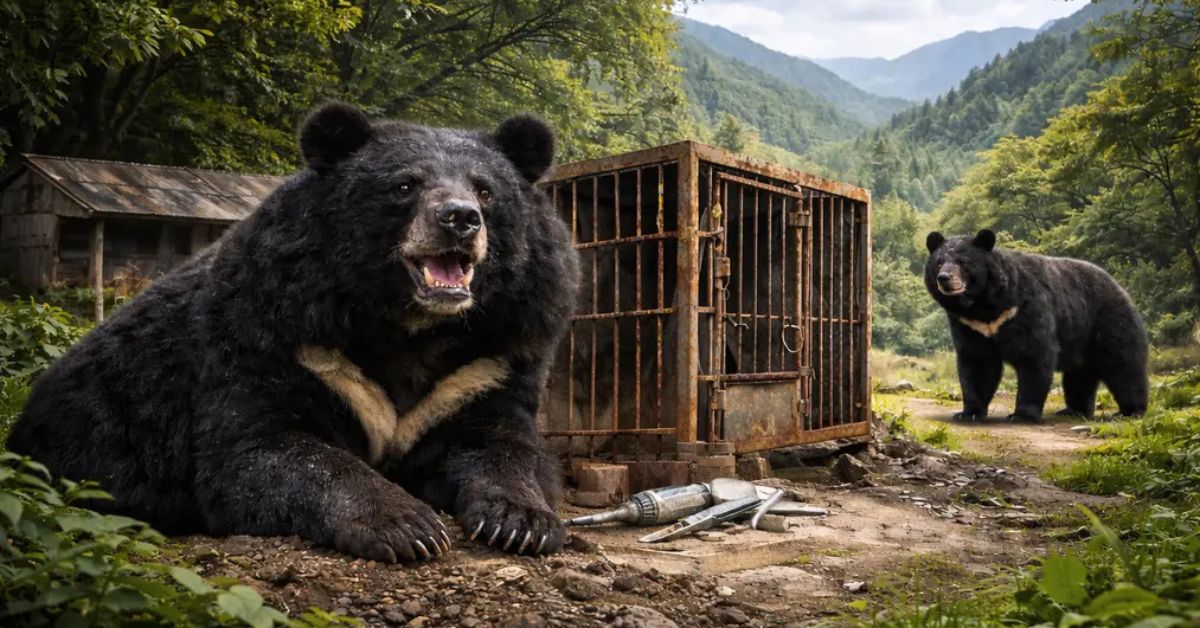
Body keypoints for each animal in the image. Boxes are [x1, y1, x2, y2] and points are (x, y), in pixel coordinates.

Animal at [7, 102, 581, 562]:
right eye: (404, 186)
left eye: (486, 192)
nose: (460, 219)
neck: (411, 324)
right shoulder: (274, 336)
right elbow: (269, 450)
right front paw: (408, 526)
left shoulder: (491, 360)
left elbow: (499, 443)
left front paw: (521, 524)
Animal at [924, 229, 1148, 423]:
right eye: (939, 262)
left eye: (964, 262)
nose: (944, 279)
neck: (983, 306)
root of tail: (1119, 287)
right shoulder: (970, 326)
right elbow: (978, 362)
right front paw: (968, 413)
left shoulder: (1026, 308)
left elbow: (1034, 354)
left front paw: (1021, 415)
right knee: (1080, 375)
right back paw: (1073, 410)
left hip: (1108, 322)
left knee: (1124, 366)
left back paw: (1131, 411)